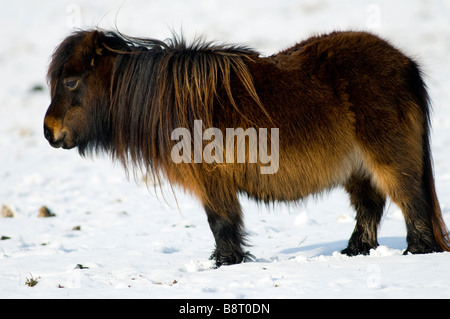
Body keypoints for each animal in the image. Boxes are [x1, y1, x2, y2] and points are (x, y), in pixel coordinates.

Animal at [43, 30, 450, 266]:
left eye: (72, 81)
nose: (49, 132)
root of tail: (405, 64)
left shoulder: (212, 180)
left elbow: (221, 222)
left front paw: (226, 263)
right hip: (357, 169)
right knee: (370, 206)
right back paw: (355, 251)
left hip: (388, 158)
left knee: (411, 201)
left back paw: (416, 251)